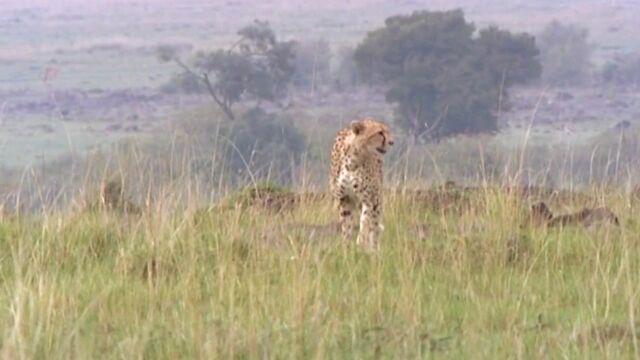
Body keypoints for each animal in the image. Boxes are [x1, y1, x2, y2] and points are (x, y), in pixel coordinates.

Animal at [330, 118, 396, 250]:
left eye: (386, 131)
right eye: (380, 132)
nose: (392, 142)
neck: (353, 160)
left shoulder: (369, 199)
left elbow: (365, 222)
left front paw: (361, 243)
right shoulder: (344, 199)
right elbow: (346, 226)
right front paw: (346, 246)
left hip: (377, 200)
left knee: (374, 226)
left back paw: (373, 249)